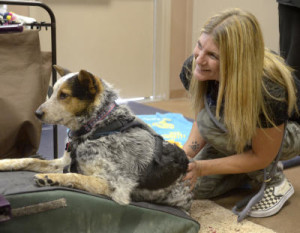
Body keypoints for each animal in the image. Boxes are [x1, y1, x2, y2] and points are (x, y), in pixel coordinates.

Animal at [0, 65, 192, 211]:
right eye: (52, 92)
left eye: (64, 95)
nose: (37, 113)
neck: (97, 128)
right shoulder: (64, 162)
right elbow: (29, 159)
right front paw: (4, 163)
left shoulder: (115, 185)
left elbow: (76, 176)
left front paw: (51, 178)